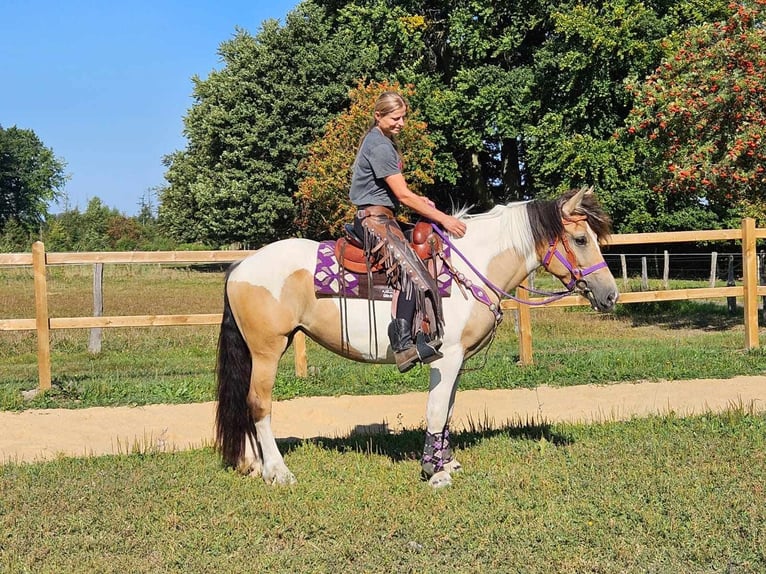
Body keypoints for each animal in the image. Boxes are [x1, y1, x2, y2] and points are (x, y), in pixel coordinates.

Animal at [213, 187, 620, 488]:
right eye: (580, 239)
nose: (611, 295)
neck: (470, 265)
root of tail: (240, 267)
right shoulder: (446, 356)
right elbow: (437, 409)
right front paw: (434, 473)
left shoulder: (457, 361)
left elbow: (449, 408)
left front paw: (447, 462)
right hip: (267, 350)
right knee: (259, 405)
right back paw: (277, 472)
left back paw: (253, 464)